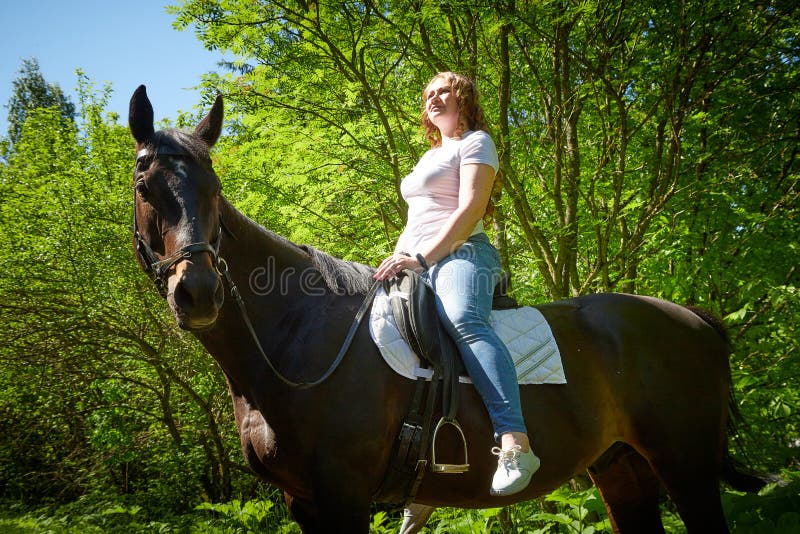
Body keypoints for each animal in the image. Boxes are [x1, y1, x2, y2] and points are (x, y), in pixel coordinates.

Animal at [128, 88, 764, 534]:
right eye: (145, 186)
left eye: (214, 190)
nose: (199, 292)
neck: (297, 335)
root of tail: (694, 319)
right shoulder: (302, 500)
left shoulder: (343, 495)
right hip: (622, 467)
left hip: (686, 466)